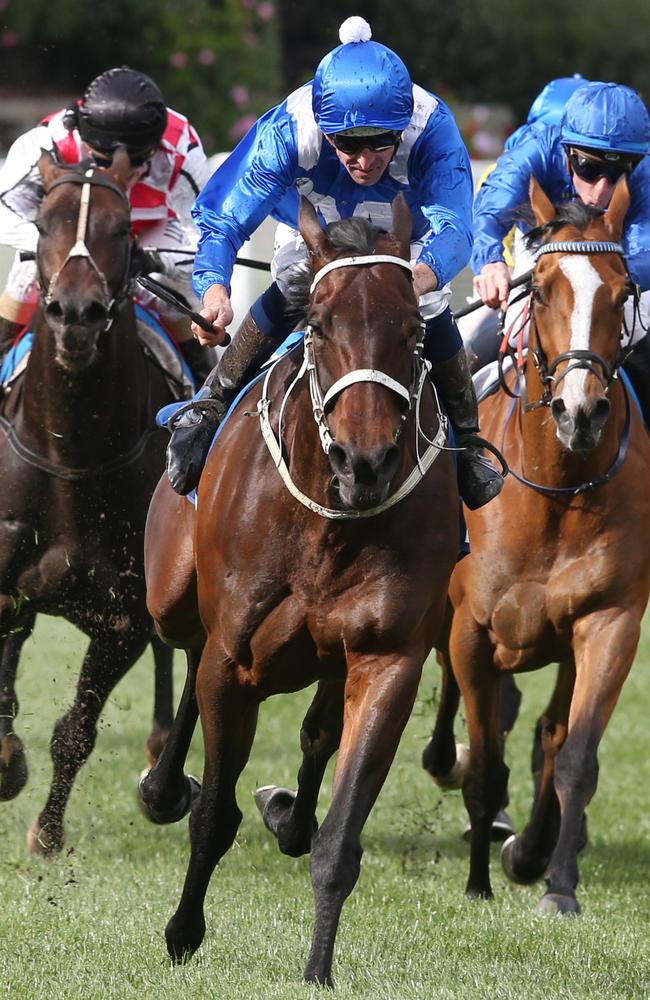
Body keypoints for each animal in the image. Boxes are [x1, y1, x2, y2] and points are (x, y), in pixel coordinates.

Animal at [0, 148, 177, 852]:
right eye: (42, 223)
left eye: (121, 227)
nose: (75, 314)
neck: (74, 460)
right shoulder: (4, 585)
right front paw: (6, 762)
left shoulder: (122, 619)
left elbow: (74, 731)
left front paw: (46, 833)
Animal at [141, 195, 458, 984]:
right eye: (317, 324)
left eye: (414, 332)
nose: (364, 459)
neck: (331, 523)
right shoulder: (236, 657)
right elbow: (213, 814)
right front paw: (183, 931)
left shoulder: (387, 660)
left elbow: (340, 836)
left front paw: (318, 969)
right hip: (173, 595)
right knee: (185, 648)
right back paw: (163, 786)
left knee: (315, 730)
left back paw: (288, 813)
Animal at [420, 178, 648, 916]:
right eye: (542, 290)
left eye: (623, 289)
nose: (581, 411)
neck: (555, 490)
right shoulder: (473, 629)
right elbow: (485, 764)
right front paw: (477, 884)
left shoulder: (608, 622)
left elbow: (573, 753)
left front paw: (556, 884)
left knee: (549, 731)